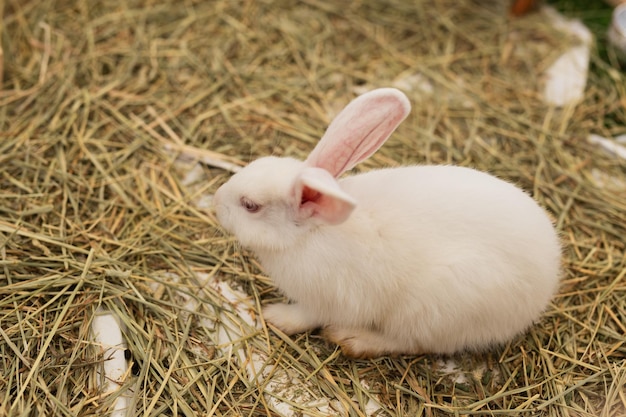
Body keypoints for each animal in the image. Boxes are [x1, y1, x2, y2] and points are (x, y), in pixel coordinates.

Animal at [212, 88, 560, 358]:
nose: (216, 201)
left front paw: (275, 317)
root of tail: (547, 284)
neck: (311, 233)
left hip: (431, 311)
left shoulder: (325, 300)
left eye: (250, 206)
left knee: (412, 343)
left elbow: (306, 316)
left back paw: (352, 339)